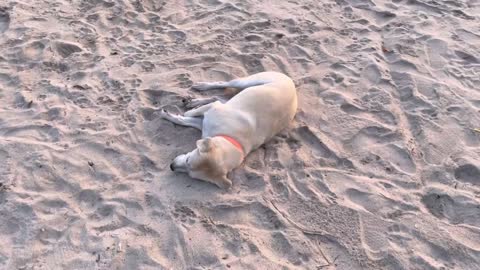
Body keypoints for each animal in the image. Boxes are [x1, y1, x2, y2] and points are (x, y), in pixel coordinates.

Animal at [159, 73, 298, 189]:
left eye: (191, 174)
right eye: (188, 160)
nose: (171, 166)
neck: (232, 139)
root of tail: (291, 81)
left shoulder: (203, 124)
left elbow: (184, 119)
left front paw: (170, 115)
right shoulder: (212, 110)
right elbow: (188, 115)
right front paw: (174, 114)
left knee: (218, 97)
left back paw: (195, 101)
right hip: (245, 82)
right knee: (222, 85)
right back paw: (201, 88)